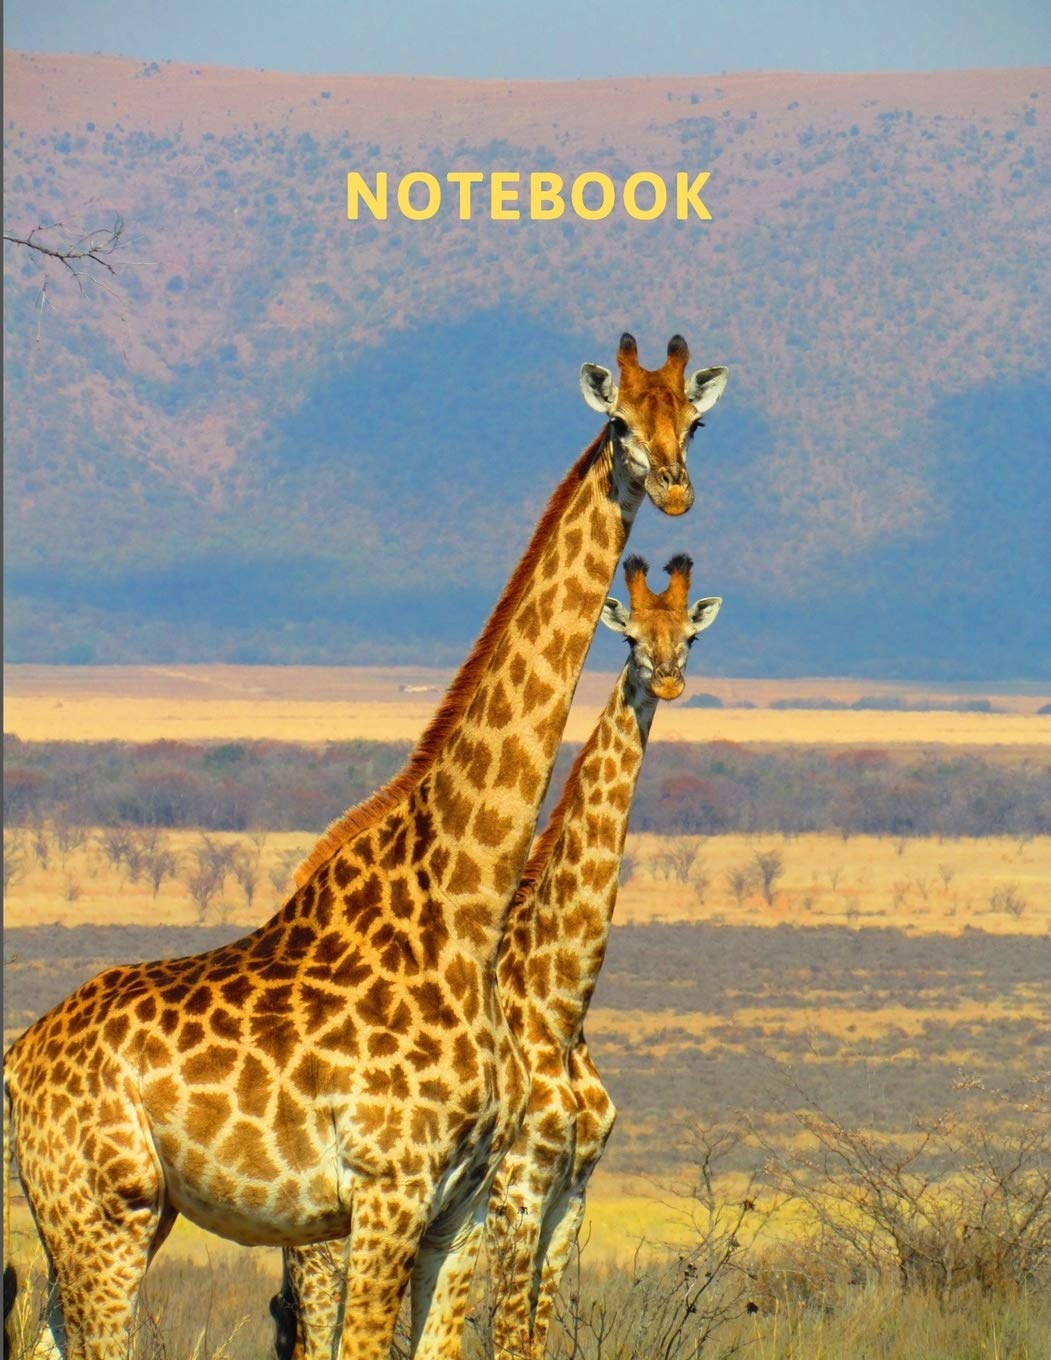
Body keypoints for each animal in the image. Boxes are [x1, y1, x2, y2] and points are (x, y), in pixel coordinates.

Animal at [486, 552, 721, 1360]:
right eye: (628, 638)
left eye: (689, 633)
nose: (668, 679)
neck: (560, 1009)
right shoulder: (517, 1190)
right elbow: (503, 1339)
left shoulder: (573, 1195)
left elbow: (533, 1338)